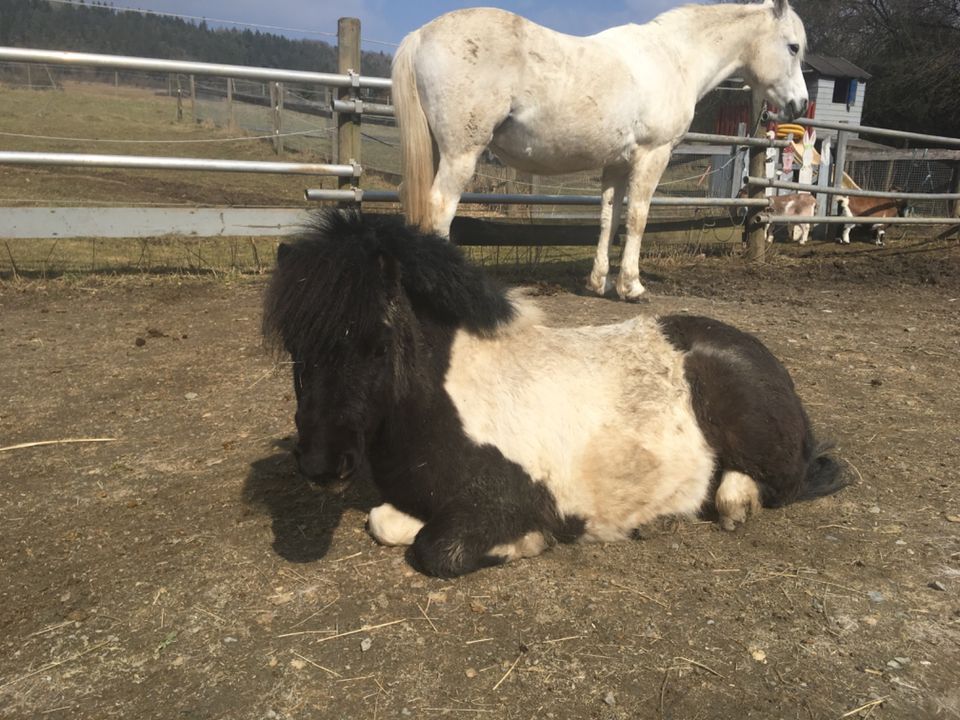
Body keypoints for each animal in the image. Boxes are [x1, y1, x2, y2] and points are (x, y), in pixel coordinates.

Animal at [260, 210, 840, 580]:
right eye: (295, 348)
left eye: (378, 345)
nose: (319, 465)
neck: (441, 406)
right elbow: (383, 521)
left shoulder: (500, 503)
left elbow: (437, 551)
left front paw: (531, 541)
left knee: (783, 482)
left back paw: (729, 503)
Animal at [392, 0, 808, 298]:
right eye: (793, 47)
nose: (800, 105)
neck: (674, 58)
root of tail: (420, 35)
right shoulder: (652, 156)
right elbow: (637, 218)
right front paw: (631, 287)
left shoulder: (617, 165)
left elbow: (610, 218)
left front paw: (599, 282)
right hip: (462, 154)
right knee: (440, 208)